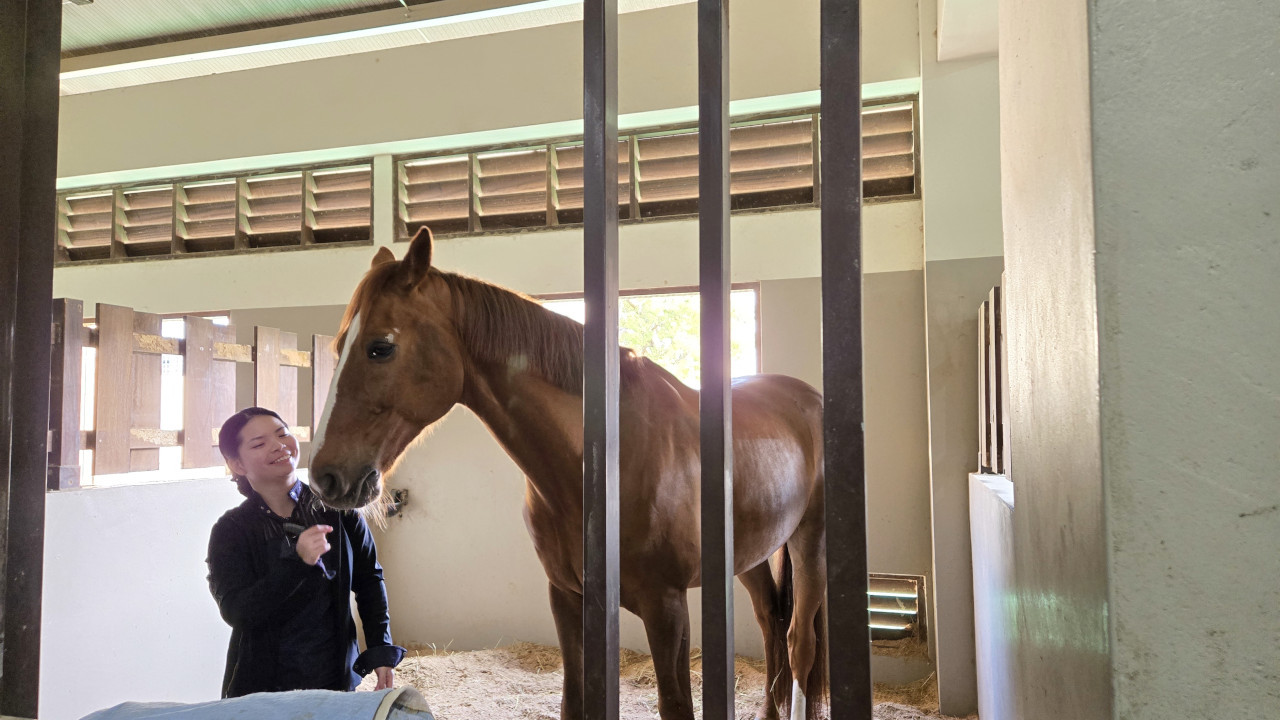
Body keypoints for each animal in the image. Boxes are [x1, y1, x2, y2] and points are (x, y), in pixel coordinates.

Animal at [310, 227, 829, 720]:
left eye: (380, 348)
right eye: (339, 345)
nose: (323, 476)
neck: (607, 460)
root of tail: (808, 398)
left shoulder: (667, 608)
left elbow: (676, 705)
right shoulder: (567, 597)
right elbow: (574, 702)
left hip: (809, 543)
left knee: (799, 645)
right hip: (752, 556)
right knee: (771, 625)